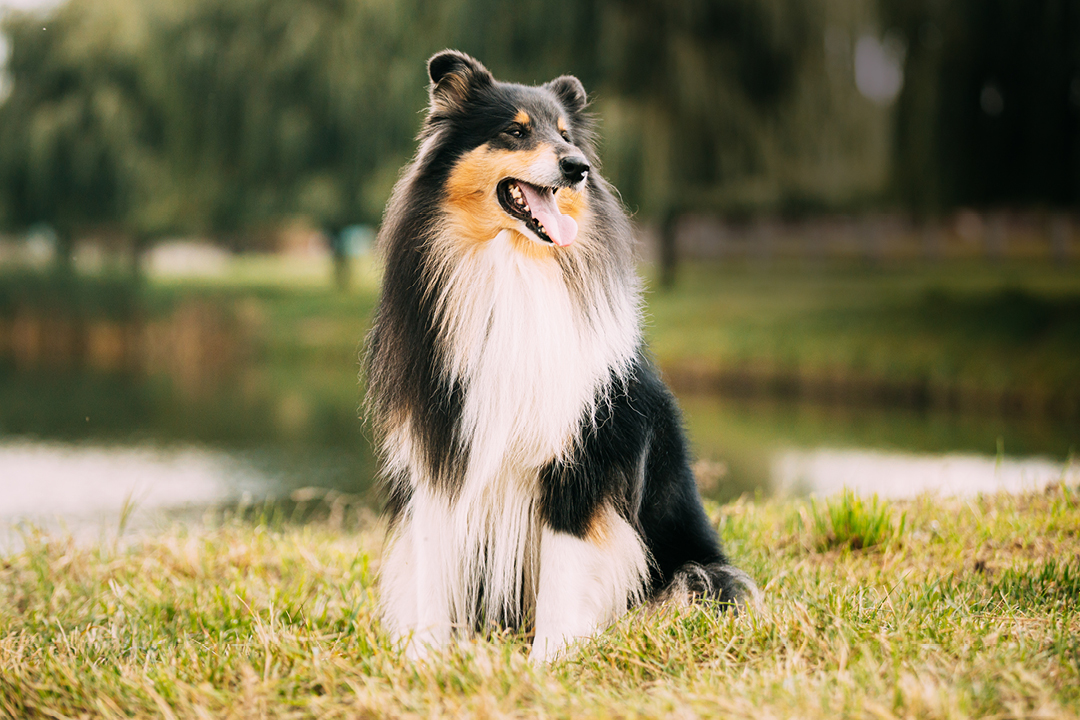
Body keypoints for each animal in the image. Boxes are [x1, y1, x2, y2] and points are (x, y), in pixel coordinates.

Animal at [367, 47, 756, 660]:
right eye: (514, 131)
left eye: (567, 135)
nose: (578, 167)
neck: (513, 267)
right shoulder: (438, 454)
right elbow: (432, 575)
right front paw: (425, 661)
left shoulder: (579, 460)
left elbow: (564, 576)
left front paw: (548, 662)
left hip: (698, 574)